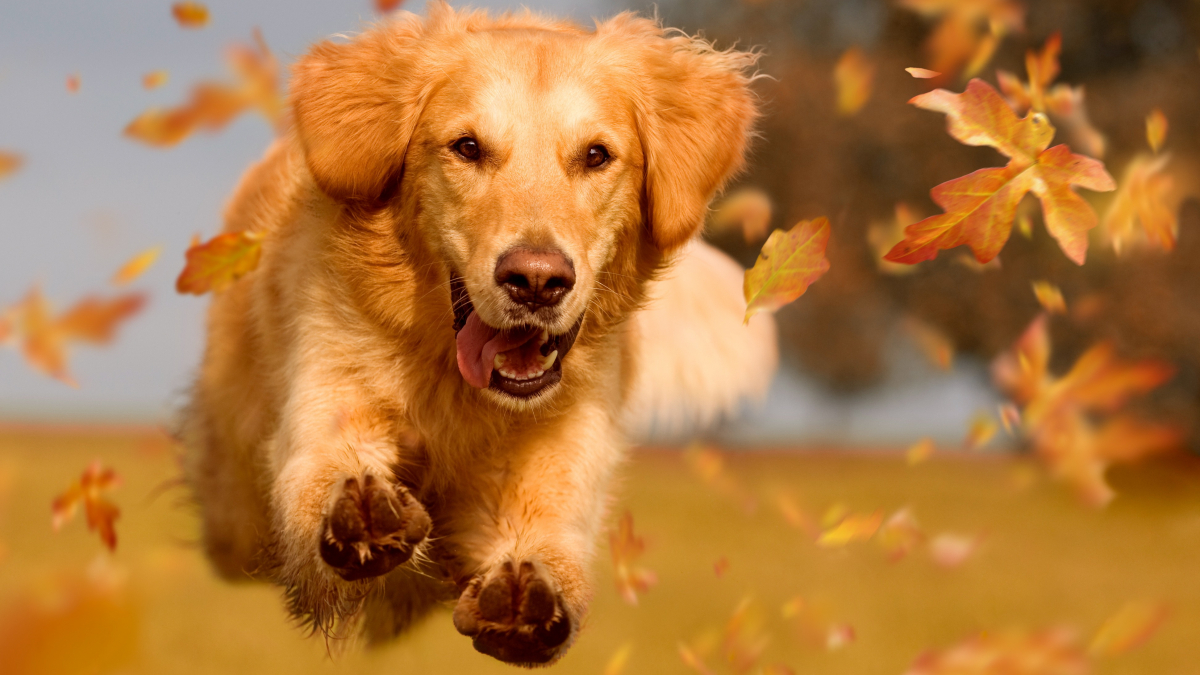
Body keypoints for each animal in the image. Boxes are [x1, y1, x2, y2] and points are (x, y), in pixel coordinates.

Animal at [181, 0, 772, 662]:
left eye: (596, 156)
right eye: (467, 148)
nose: (537, 281)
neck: (460, 397)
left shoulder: (560, 464)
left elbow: (552, 546)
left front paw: (528, 600)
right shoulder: (322, 401)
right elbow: (321, 475)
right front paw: (361, 513)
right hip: (233, 500)